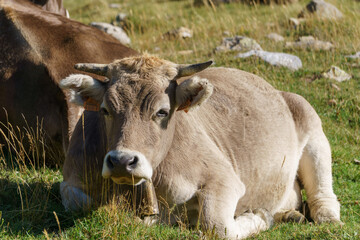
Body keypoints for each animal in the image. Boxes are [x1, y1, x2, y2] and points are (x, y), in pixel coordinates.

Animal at [59, 55, 340, 239]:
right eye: (105, 110)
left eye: (162, 112)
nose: (121, 161)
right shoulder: (71, 180)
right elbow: (80, 203)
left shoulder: (224, 180)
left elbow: (217, 227)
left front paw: (258, 217)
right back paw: (290, 215)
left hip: (312, 126)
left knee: (323, 197)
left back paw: (326, 220)